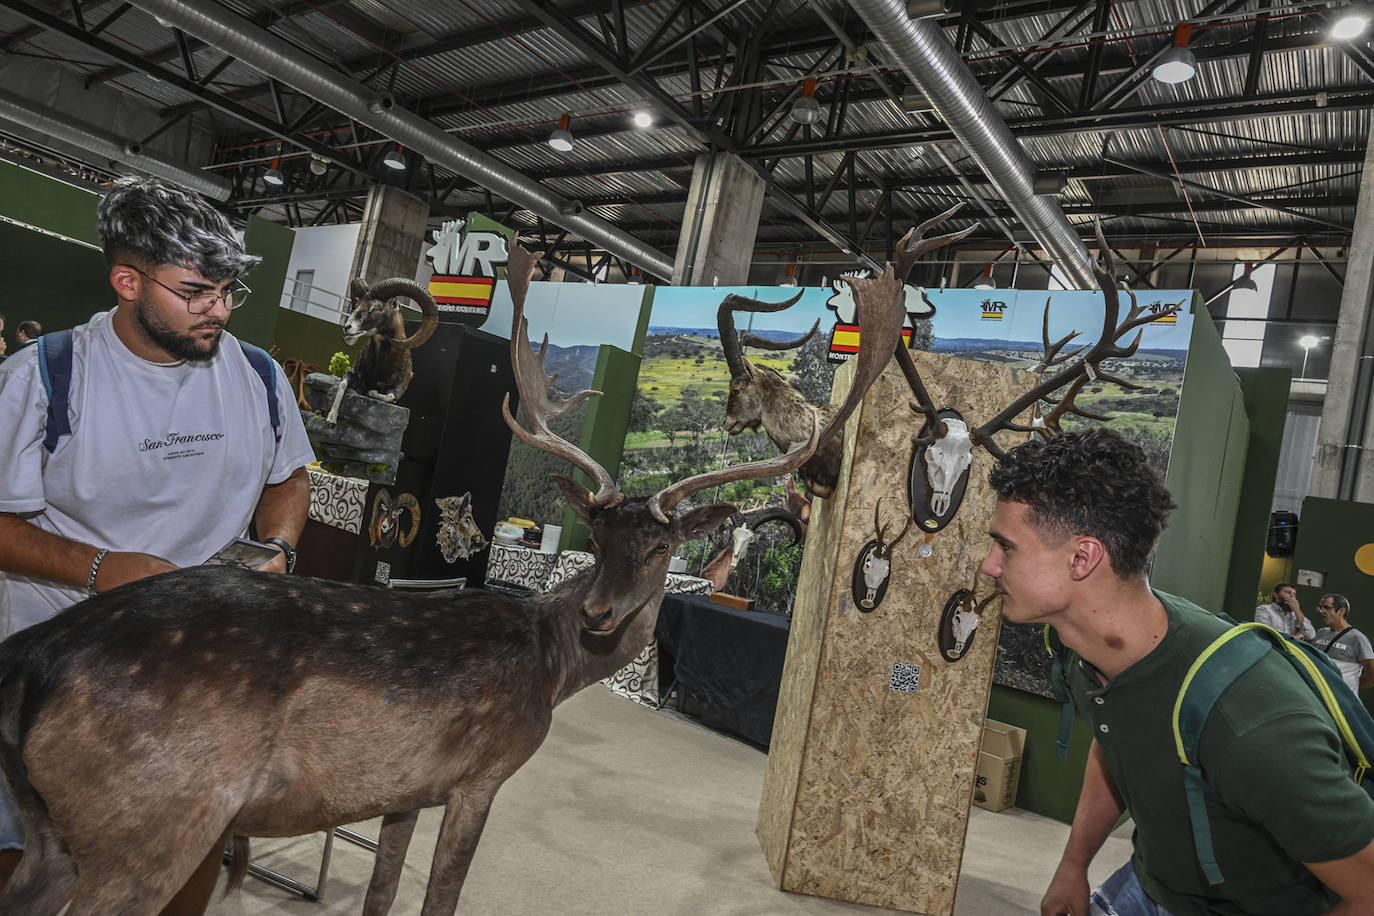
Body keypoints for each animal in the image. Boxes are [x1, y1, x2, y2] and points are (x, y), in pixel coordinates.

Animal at [324, 277, 436, 425]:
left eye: (377, 309)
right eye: (357, 304)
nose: (347, 327)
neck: (380, 367)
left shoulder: (398, 389)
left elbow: (389, 396)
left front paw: (370, 392)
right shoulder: (352, 373)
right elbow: (342, 385)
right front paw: (331, 419)